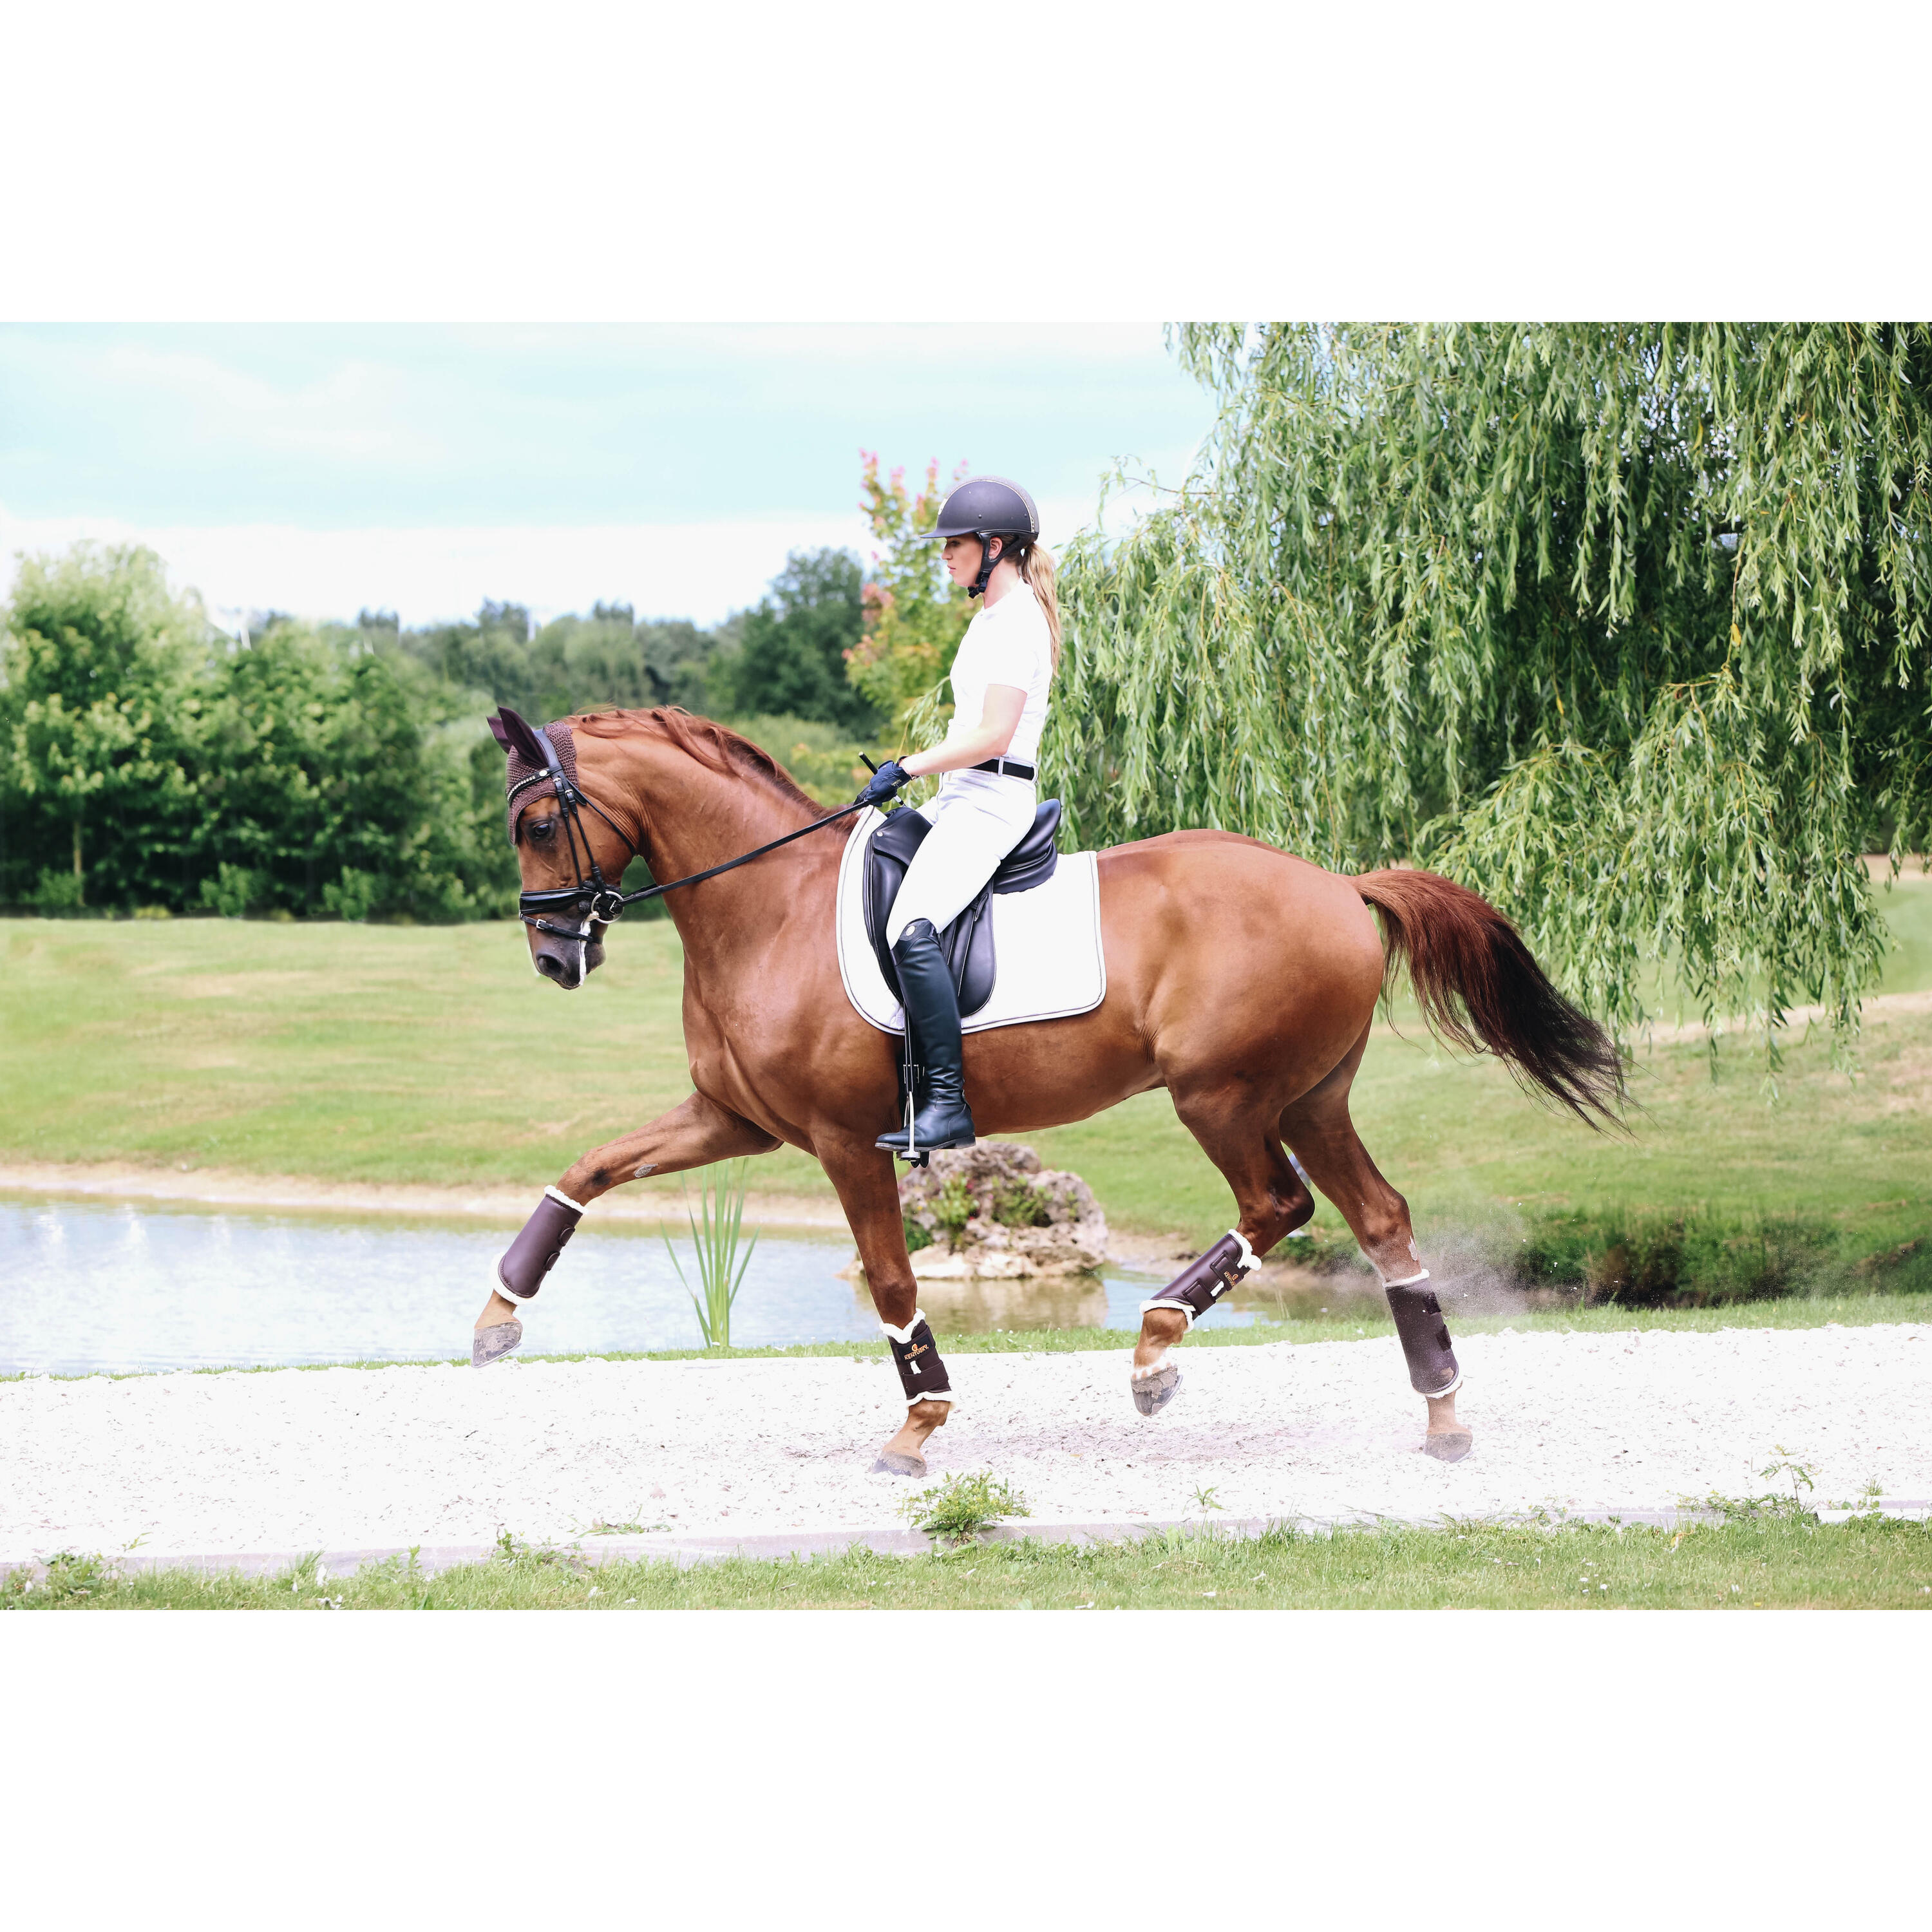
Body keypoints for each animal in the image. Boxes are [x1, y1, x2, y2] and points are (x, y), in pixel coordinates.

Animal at [474, 704, 1624, 1474]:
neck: (770, 907)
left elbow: (890, 1281)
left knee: (1277, 1203)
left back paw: (1155, 1351)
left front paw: (918, 1424)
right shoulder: (734, 1122)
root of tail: (1341, 885)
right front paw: (498, 1316)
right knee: (1381, 1221)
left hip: (1222, 1097)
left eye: (538, 826)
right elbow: (592, 1167)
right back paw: (1444, 1416)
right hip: (1311, 1098)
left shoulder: (845, 1143)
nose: (553, 959)